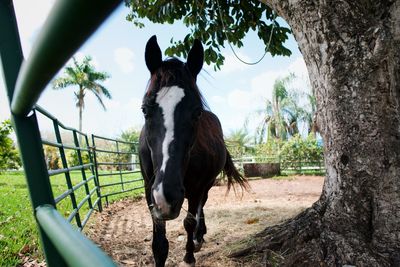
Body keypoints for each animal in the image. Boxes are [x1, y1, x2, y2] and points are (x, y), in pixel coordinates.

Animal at [139, 36, 248, 267]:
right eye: (144, 109)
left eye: (197, 112)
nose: (167, 196)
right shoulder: (149, 190)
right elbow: (159, 244)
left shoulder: (197, 188)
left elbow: (189, 221)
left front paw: (189, 256)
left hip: (204, 186)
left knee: (200, 208)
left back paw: (199, 236)